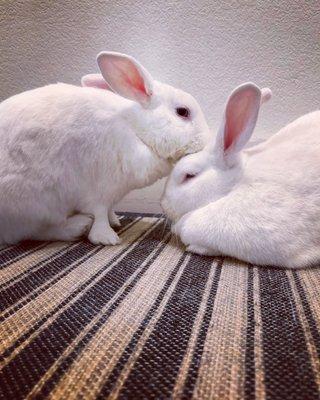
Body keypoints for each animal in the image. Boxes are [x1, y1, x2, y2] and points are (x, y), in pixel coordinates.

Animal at [0, 51, 210, 245]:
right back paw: (78, 226)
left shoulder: (114, 193)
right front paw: (107, 238)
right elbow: (99, 213)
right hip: (32, 206)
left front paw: (115, 220)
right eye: (182, 112)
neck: (136, 130)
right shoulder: (98, 190)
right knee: (35, 232)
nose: (206, 140)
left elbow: (108, 210)